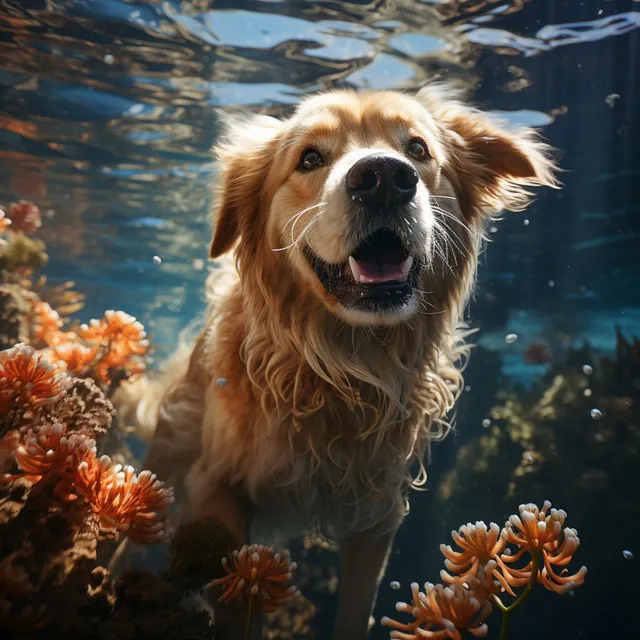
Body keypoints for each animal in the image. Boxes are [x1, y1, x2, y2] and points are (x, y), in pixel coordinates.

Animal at [119, 82, 556, 636]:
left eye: (418, 149)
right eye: (309, 158)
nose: (385, 178)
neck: (342, 367)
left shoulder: (379, 515)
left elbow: (356, 611)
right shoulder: (215, 487)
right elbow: (239, 602)